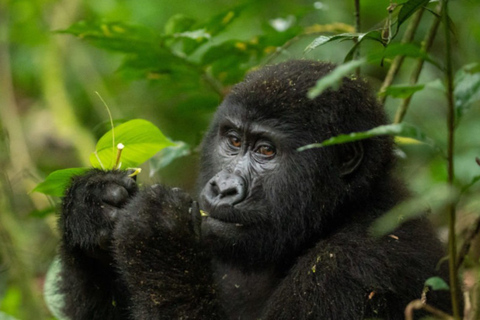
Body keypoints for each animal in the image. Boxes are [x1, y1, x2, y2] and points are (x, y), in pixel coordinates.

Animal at [58, 59, 456, 318]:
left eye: (266, 150)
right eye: (233, 141)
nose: (222, 188)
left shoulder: (357, 264)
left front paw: (157, 235)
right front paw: (91, 206)